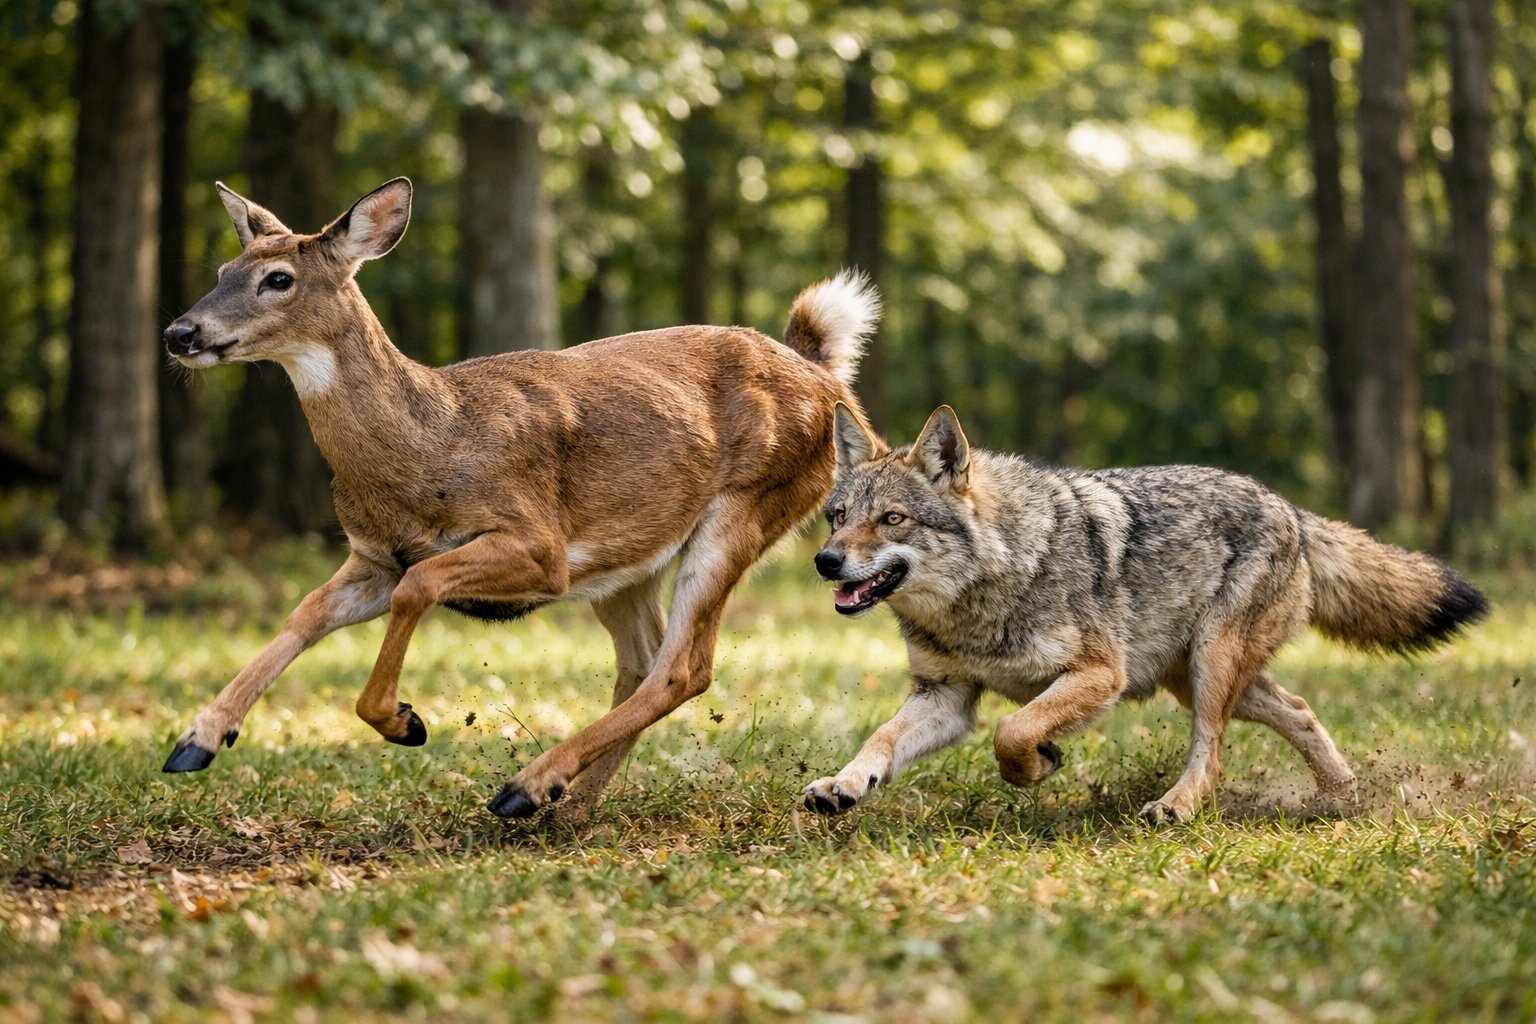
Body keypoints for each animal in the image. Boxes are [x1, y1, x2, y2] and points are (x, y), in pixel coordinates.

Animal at [160, 177, 880, 822]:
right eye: (223, 268)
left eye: (278, 278)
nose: (179, 333)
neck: (431, 445)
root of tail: (826, 377)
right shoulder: (372, 555)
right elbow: (306, 612)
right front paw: (197, 739)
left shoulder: (537, 543)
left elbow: (418, 586)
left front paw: (403, 721)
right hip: (629, 558)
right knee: (644, 662)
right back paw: (570, 804)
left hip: (744, 508)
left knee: (684, 668)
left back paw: (526, 788)